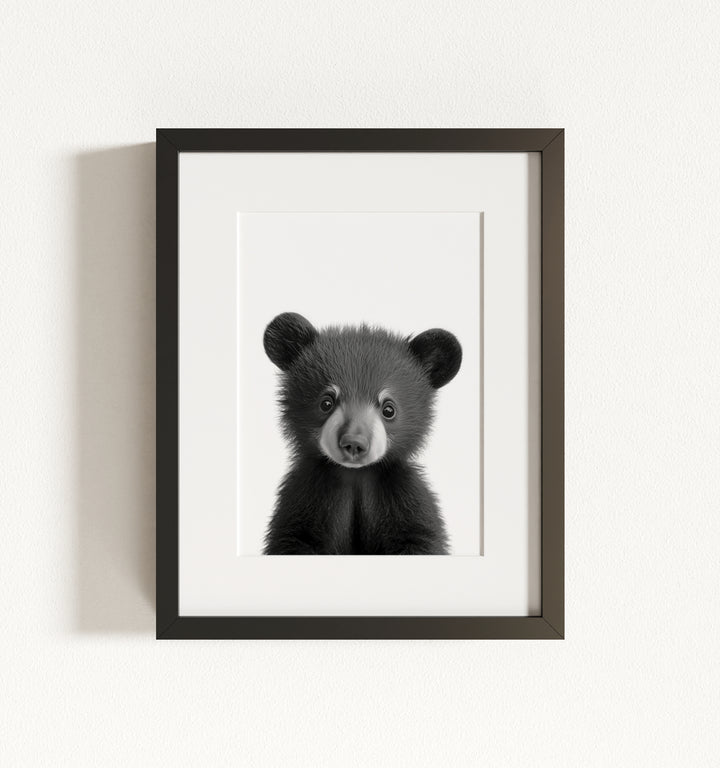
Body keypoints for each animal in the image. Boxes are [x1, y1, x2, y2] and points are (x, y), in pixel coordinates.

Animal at [262, 312, 462, 555]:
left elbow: (421, 536)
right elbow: (294, 537)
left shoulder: (401, 494)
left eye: (389, 409)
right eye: (326, 402)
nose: (354, 443)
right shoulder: (306, 496)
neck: (356, 475)